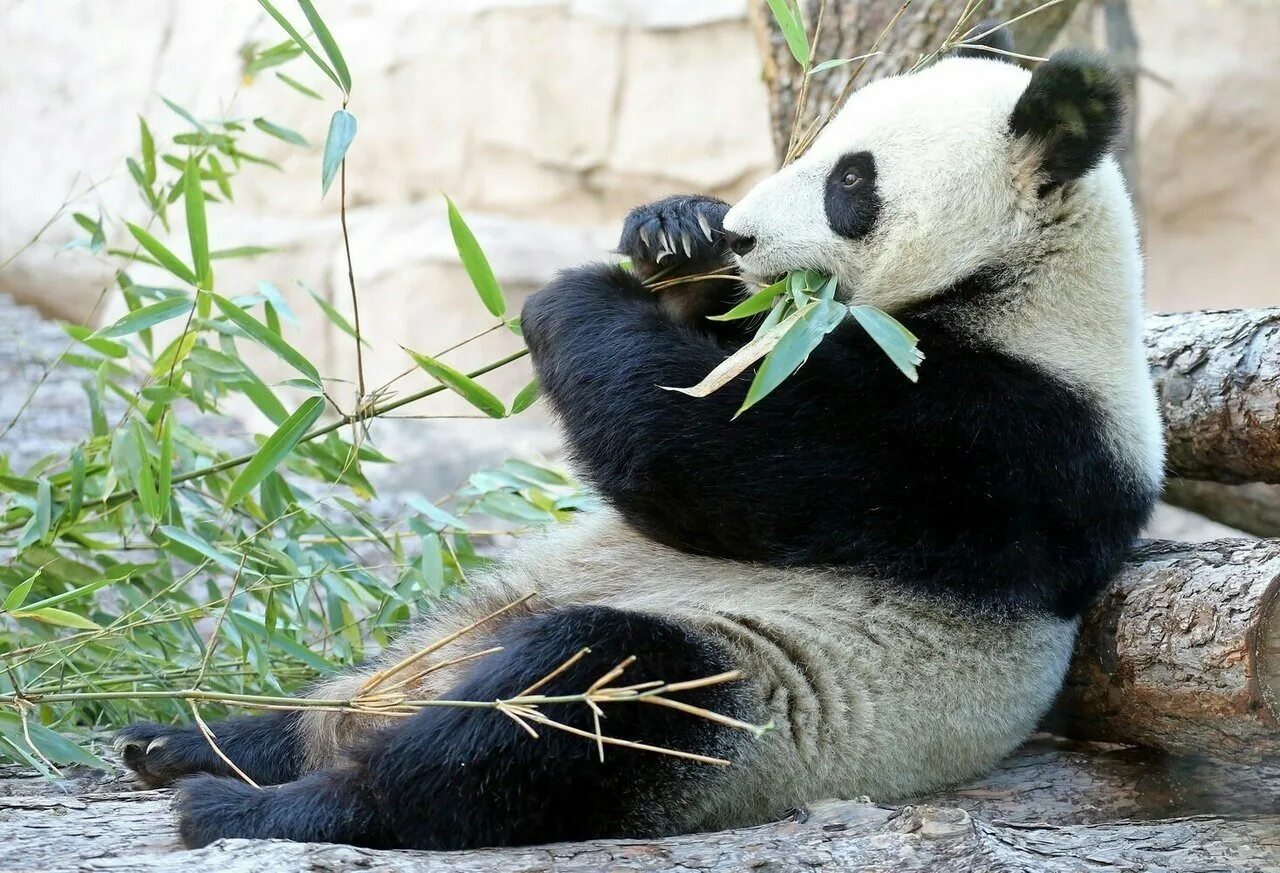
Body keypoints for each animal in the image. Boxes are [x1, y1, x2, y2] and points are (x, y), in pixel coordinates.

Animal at [115, 37, 1167, 844]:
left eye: (850, 180)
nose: (740, 235)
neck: (1030, 281)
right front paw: (673, 230)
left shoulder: (1005, 443)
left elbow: (709, 449)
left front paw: (579, 291)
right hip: (498, 597)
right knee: (380, 683)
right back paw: (192, 741)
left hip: (742, 691)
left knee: (562, 709)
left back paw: (257, 804)